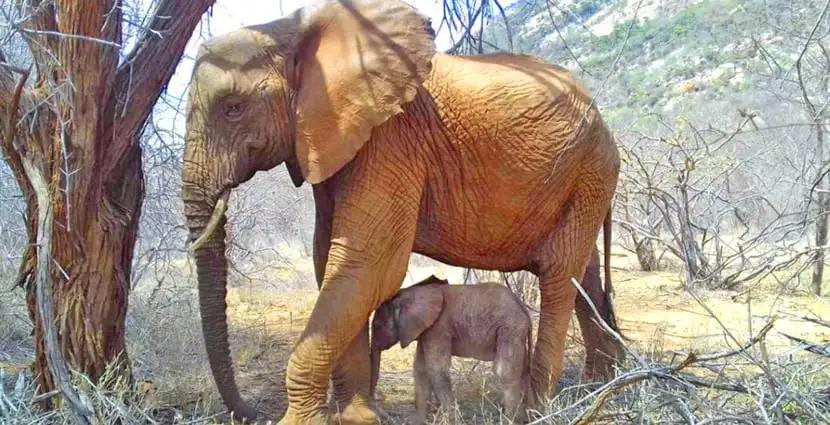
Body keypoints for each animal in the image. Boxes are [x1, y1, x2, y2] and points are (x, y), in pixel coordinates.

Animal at [370, 274, 532, 422]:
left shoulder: (438, 328)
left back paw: (513, 420)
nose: (377, 404)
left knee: (504, 371)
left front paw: (449, 420)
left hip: (510, 328)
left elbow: (435, 369)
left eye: (377, 326)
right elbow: (420, 368)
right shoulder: (426, 330)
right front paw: (416, 421)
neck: (409, 293)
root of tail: (524, 309)